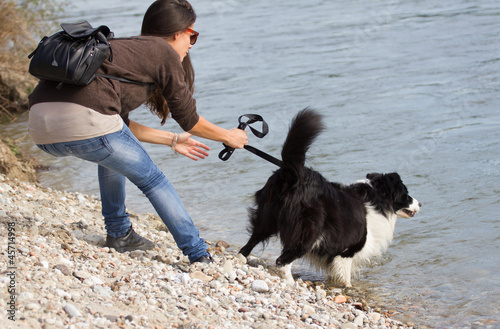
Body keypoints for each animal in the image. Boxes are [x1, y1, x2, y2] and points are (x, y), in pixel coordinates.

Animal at [240, 109, 420, 286]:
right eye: (406, 193)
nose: (420, 204)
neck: (376, 199)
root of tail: (291, 174)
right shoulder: (348, 249)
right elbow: (345, 276)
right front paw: (347, 288)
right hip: (307, 232)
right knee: (282, 261)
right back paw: (291, 283)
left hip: (266, 218)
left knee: (248, 245)